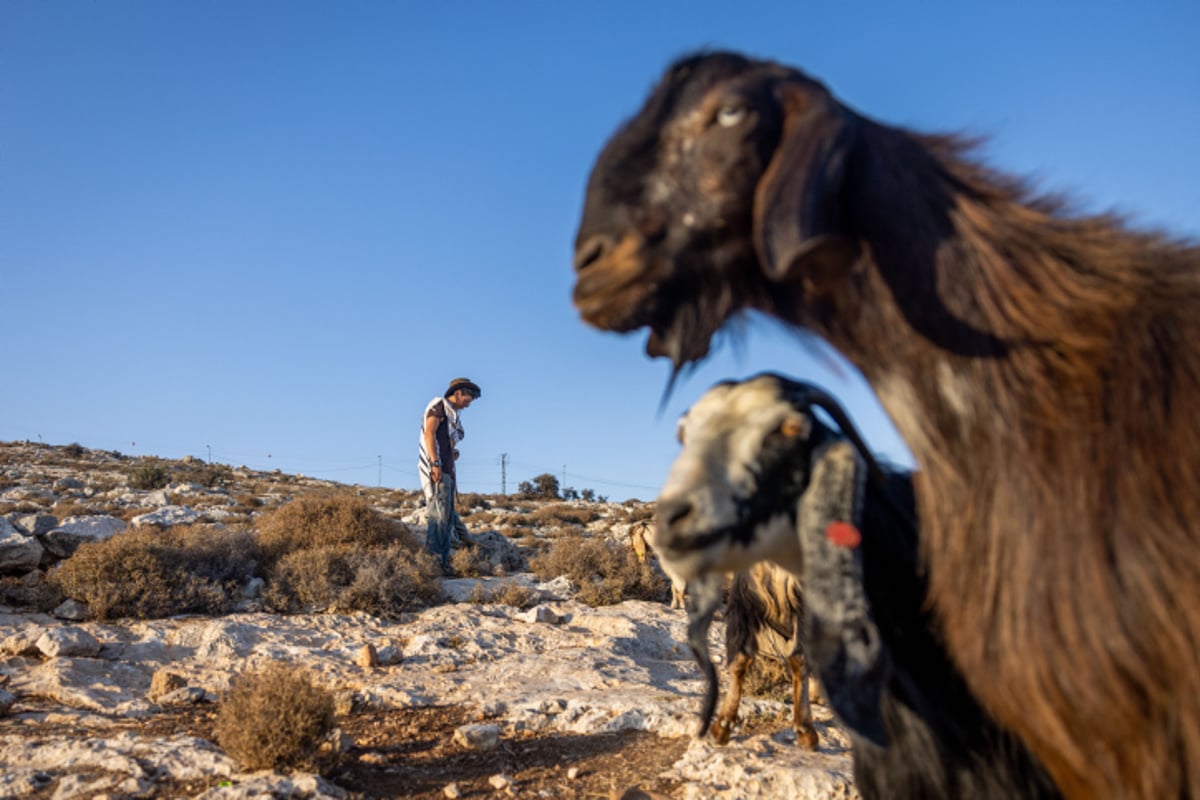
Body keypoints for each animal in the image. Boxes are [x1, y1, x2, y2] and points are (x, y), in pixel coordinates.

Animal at [657, 376, 1060, 800]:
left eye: (791, 428)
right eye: (686, 436)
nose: (678, 519)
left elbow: (795, 658)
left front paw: (803, 728)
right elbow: (747, 658)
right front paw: (727, 726)